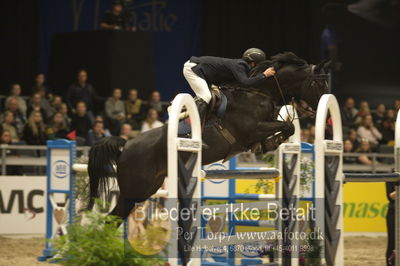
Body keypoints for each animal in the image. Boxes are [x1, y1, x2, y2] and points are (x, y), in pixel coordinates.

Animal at [89, 52, 330, 220]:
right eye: (318, 83)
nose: (326, 118)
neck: (259, 93)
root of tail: (126, 145)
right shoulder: (252, 129)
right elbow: (286, 127)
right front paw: (270, 143)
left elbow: (287, 128)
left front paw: (268, 144)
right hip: (136, 188)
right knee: (112, 218)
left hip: (147, 188)